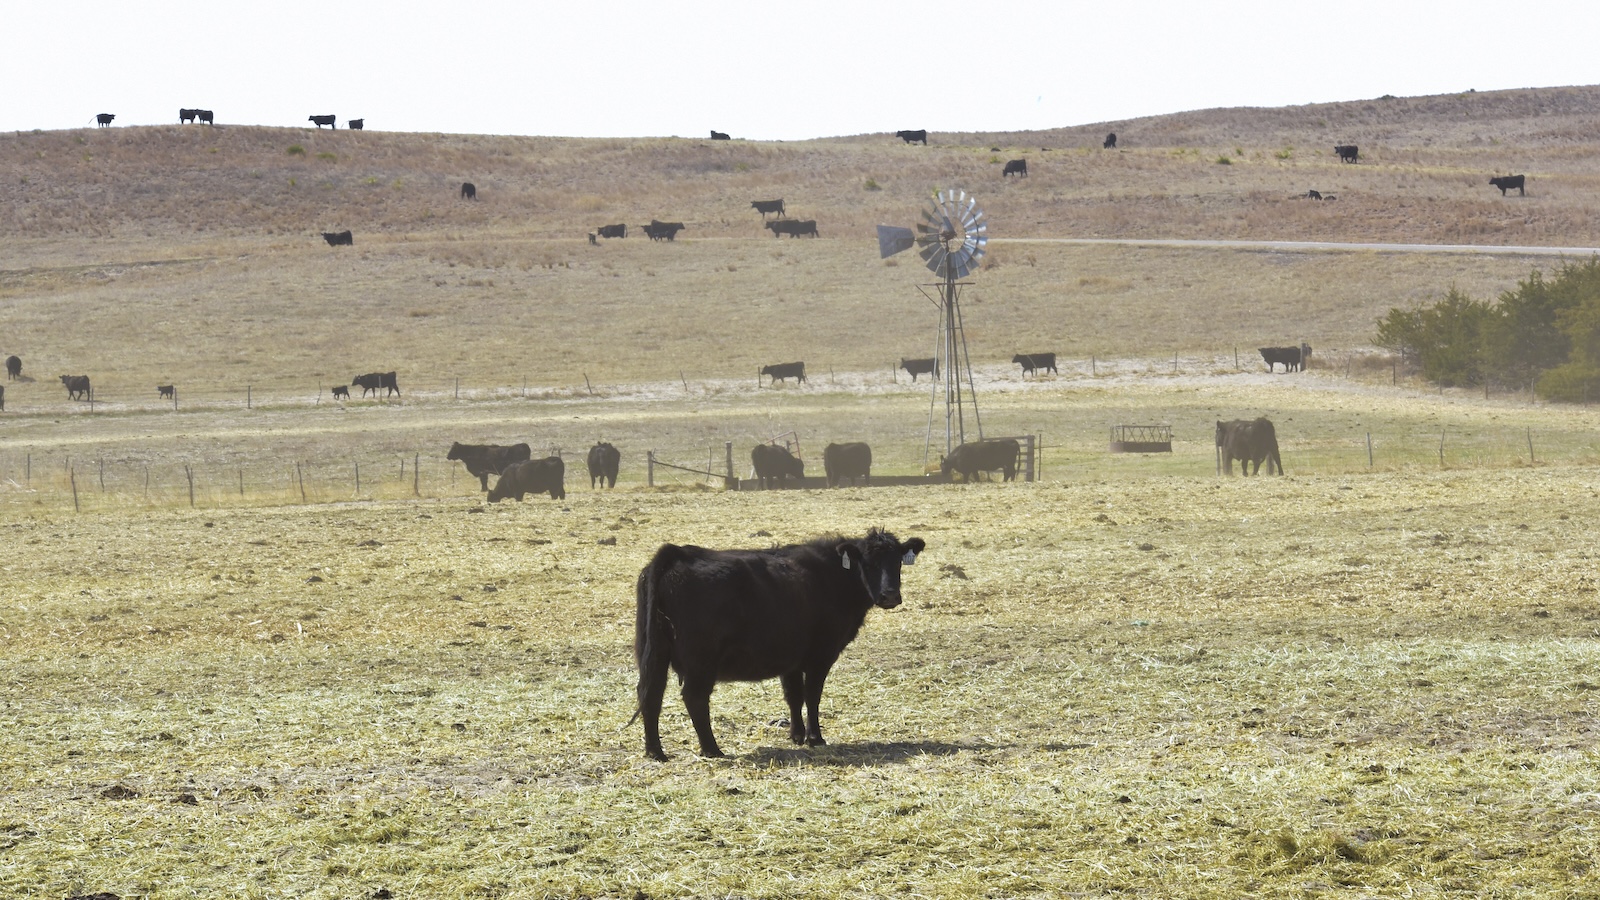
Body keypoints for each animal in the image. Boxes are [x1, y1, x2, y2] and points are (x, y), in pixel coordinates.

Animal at [632, 527, 925, 759]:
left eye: (898, 562)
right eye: (869, 564)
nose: (890, 596)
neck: (831, 576)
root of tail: (677, 553)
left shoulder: (791, 658)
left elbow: (793, 695)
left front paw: (796, 735)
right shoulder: (821, 655)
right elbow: (812, 695)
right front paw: (815, 738)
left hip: (654, 653)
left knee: (650, 695)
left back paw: (655, 751)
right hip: (700, 661)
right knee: (694, 698)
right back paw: (711, 749)